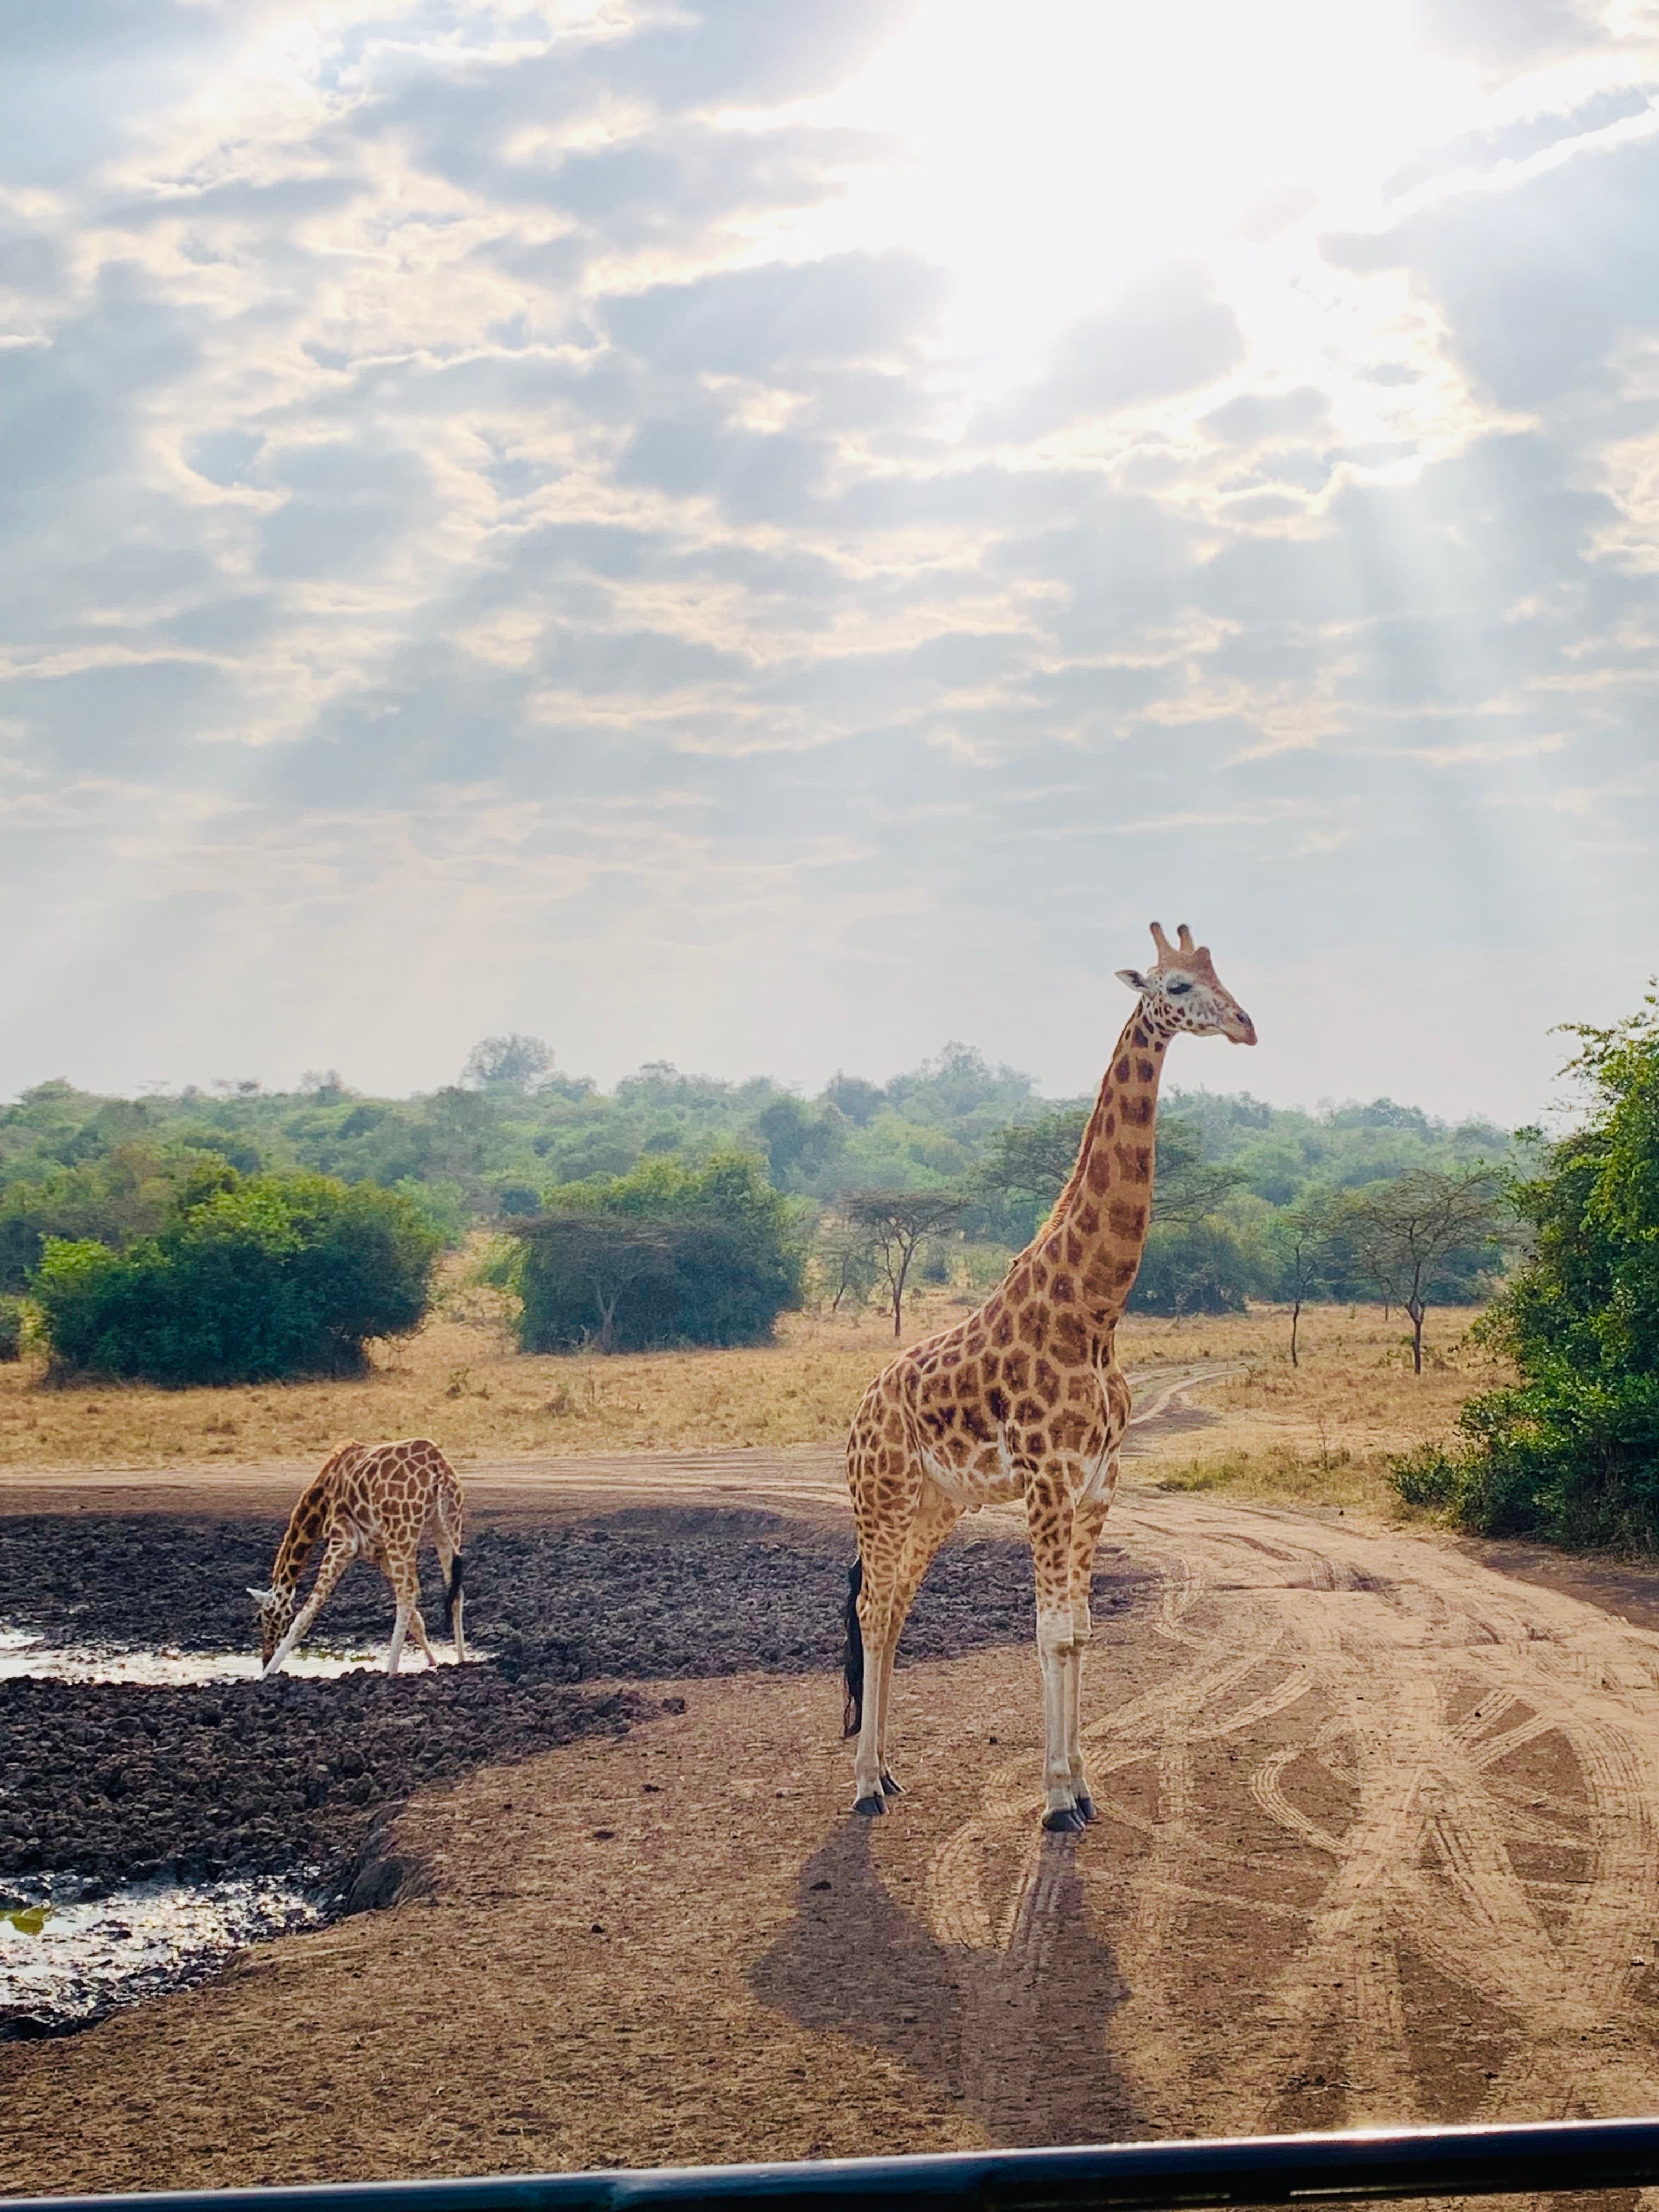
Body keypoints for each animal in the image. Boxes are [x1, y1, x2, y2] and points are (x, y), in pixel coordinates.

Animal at [249, 1437, 467, 1680]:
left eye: (263, 1617)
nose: (265, 1657)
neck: (322, 1498)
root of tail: (438, 1468)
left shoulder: (343, 1541)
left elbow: (305, 1615)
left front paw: (264, 1677)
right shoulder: (380, 1553)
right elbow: (416, 1620)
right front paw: (433, 1662)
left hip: (401, 1530)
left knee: (407, 1594)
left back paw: (391, 1671)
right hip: (447, 1522)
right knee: (454, 1590)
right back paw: (461, 1661)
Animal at [842, 922, 1256, 1830]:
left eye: (1224, 976)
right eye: (1178, 987)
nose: (1247, 1026)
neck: (1096, 1312)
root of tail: (858, 1412)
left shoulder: (1099, 1483)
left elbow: (1080, 1631)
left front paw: (1084, 1788)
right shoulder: (1046, 1480)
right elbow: (1049, 1630)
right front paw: (1058, 1799)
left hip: (935, 1505)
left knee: (895, 1611)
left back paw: (888, 1772)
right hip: (882, 1497)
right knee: (869, 1609)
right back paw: (862, 1787)